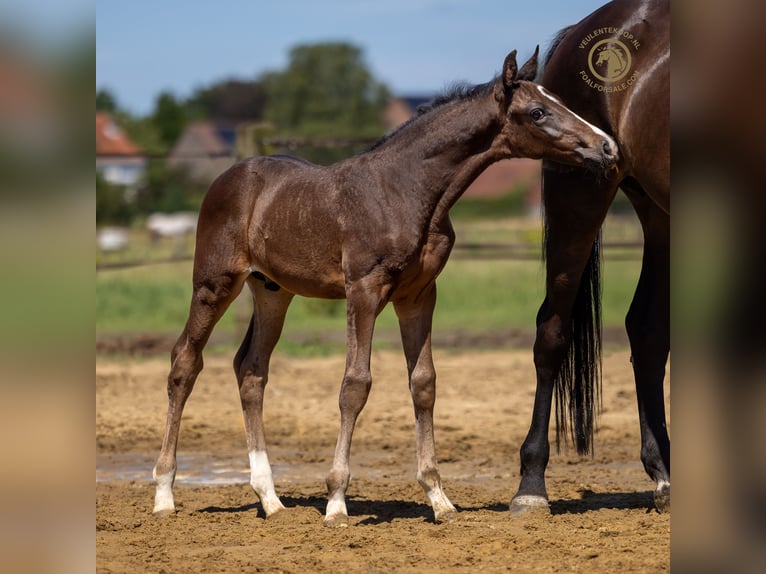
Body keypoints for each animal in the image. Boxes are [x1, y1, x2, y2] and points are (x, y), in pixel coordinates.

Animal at [152, 49, 618, 527]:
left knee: (251, 369)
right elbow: (355, 384)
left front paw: (439, 498)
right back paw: (165, 493)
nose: (606, 146)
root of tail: (231, 175)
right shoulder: (364, 290)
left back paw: (271, 499)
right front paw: (336, 502)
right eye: (538, 111)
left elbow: (424, 382)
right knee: (184, 361)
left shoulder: (418, 295)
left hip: (272, 291)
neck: (407, 191)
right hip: (215, 282)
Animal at [509, 0, 670, 515]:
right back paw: (531, 485)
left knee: (647, 329)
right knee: (552, 330)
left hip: (659, 211)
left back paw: (665, 475)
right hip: (579, 198)